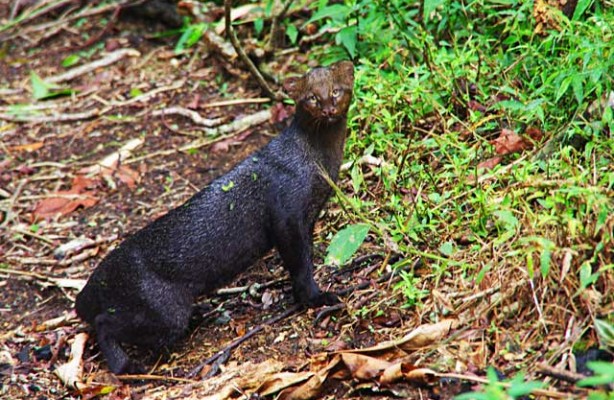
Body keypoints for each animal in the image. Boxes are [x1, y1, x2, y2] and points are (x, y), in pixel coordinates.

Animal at [76, 60, 356, 376]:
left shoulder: (308, 217)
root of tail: (95, 279)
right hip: (165, 314)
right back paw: (126, 365)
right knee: (102, 323)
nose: (328, 108)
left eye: (336, 91)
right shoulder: (287, 215)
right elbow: (300, 265)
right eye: (311, 98)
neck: (319, 160)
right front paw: (318, 298)